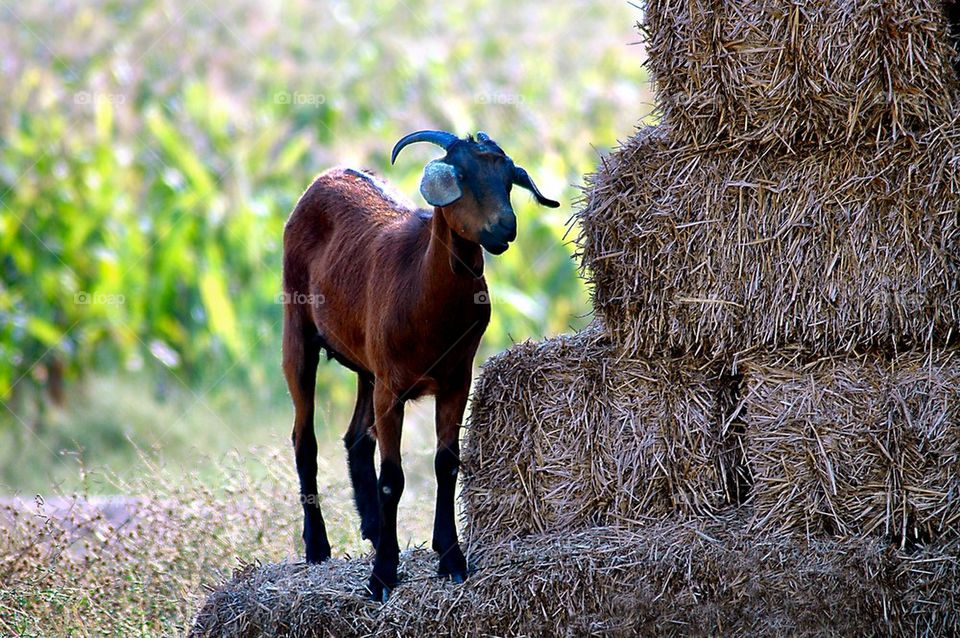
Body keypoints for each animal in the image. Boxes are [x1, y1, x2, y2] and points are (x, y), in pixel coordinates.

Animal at [282, 129, 560, 600]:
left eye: (509, 178)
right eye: (461, 175)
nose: (505, 228)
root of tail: (327, 177)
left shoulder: (455, 380)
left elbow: (446, 466)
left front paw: (450, 559)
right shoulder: (393, 388)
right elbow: (392, 479)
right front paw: (382, 576)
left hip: (368, 368)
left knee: (356, 439)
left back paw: (374, 529)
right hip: (298, 331)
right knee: (306, 439)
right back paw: (317, 546)